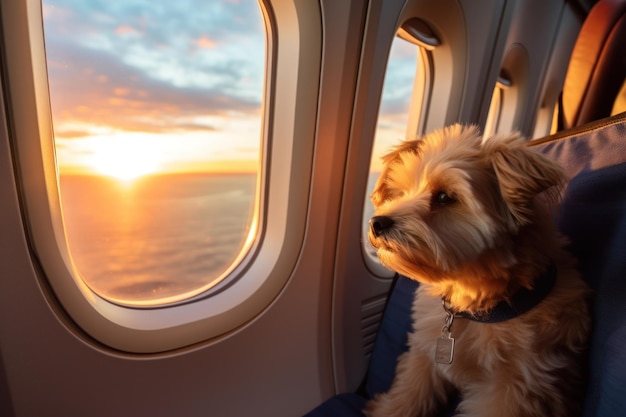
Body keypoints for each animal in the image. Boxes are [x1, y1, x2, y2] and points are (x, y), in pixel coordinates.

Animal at [364, 123, 588, 416]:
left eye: (444, 197)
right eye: (400, 192)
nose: (377, 223)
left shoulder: (518, 387)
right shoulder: (425, 354)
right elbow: (411, 391)